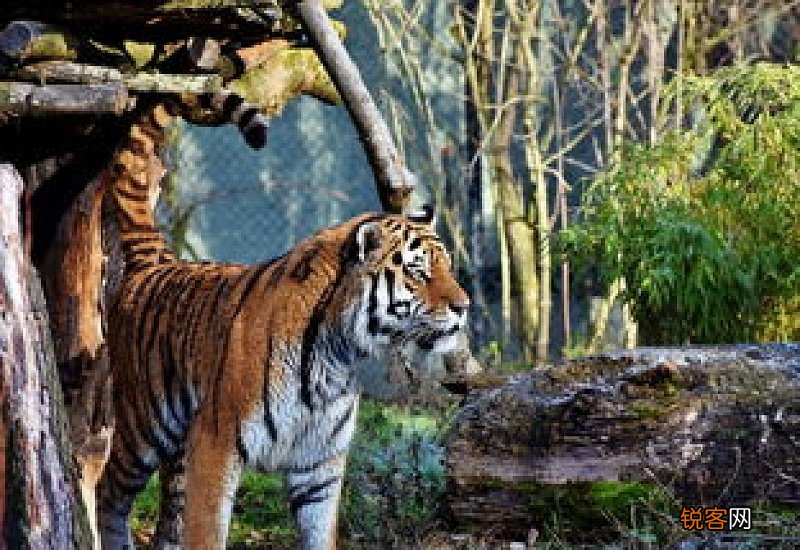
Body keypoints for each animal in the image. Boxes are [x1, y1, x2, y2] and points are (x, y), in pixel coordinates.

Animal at [97, 102, 469, 550]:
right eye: (418, 272)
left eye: (447, 266)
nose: (465, 306)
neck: (340, 358)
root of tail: (158, 262)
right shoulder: (216, 443)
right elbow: (207, 533)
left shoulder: (320, 465)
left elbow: (320, 536)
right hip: (142, 424)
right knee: (107, 493)